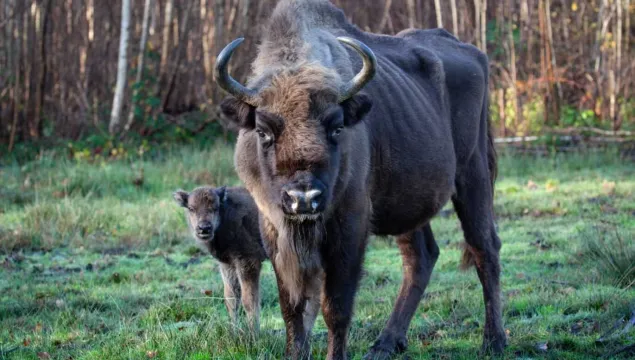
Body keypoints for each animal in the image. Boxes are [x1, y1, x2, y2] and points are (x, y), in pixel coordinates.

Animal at [171, 186, 266, 332]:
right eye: (191, 208)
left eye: (215, 207)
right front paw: (233, 332)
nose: (204, 228)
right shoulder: (227, 265)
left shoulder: (248, 262)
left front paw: (254, 334)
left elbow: (249, 301)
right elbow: (231, 299)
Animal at [216, 0, 504, 358]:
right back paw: (386, 343)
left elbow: (335, 308)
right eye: (263, 131)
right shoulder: (273, 228)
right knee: (421, 257)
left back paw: (494, 341)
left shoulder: (349, 226)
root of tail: (474, 54)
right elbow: (292, 308)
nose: (303, 199)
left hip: (472, 176)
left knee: (484, 248)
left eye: (337, 127)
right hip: (409, 202)